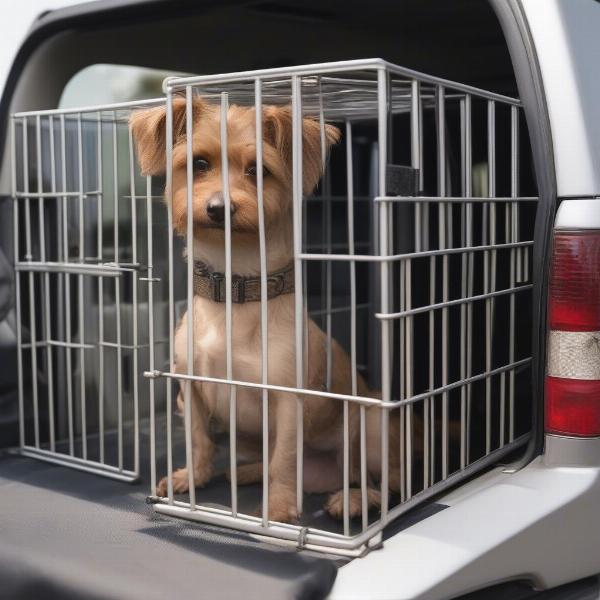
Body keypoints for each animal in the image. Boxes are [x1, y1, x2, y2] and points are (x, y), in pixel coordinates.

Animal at [128, 96, 406, 524]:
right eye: (199, 164)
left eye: (259, 170)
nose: (219, 208)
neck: (236, 290)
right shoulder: (189, 388)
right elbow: (199, 439)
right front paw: (191, 477)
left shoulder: (288, 402)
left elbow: (284, 460)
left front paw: (278, 508)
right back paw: (244, 472)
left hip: (371, 422)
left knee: (384, 481)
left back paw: (356, 500)